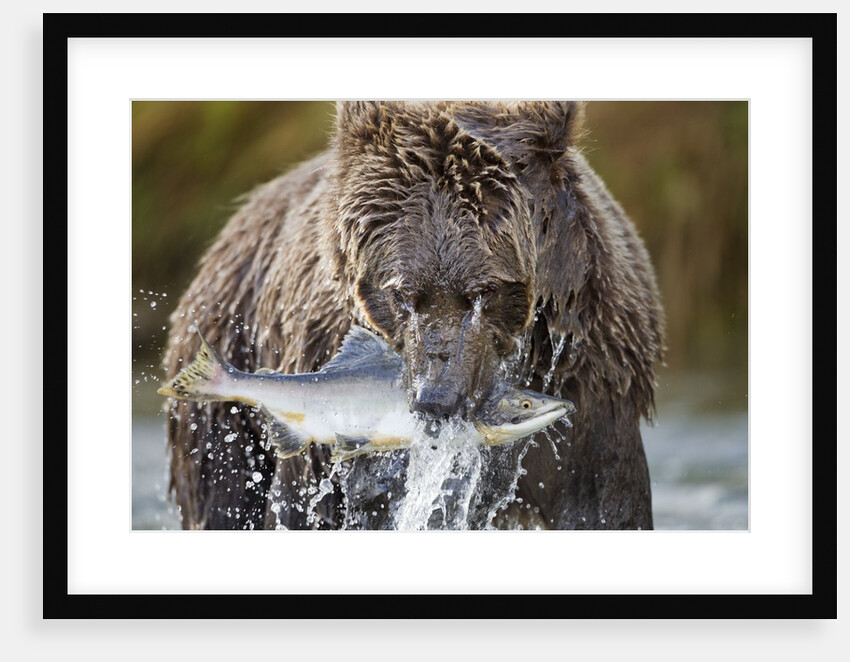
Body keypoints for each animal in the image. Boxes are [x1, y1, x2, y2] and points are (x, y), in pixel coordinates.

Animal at [161, 100, 665, 530]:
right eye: (401, 293)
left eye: (485, 291)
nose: (435, 400)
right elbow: (308, 508)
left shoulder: (592, 387)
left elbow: (603, 505)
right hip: (226, 405)